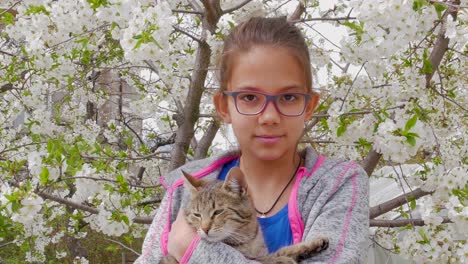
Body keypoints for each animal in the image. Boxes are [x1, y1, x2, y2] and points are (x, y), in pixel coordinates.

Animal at [161, 168, 330, 262]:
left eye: (218, 212)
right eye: (197, 215)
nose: (205, 229)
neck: (247, 237)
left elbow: (282, 250)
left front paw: (311, 245)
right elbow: (266, 259)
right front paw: (282, 260)